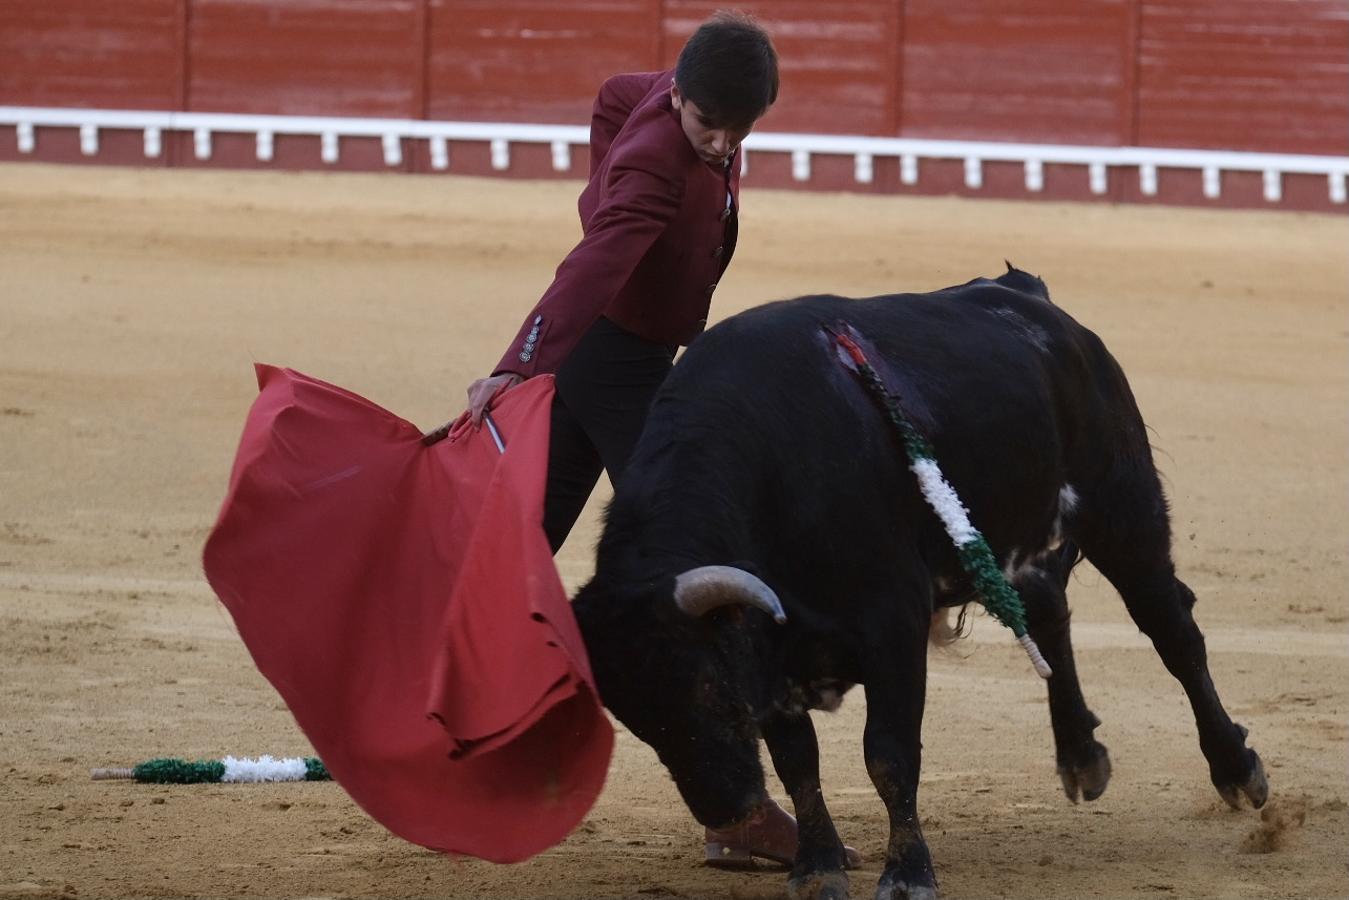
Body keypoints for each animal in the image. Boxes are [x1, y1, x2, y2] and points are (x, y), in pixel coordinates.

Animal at [569, 269, 1262, 900]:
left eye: (706, 685)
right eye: (630, 715)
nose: (725, 808)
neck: (773, 472)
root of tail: (1030, 297)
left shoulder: (892, 624)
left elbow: (889, 754)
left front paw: (907, 874)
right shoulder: (773, 659)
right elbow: (798, 760)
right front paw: (816, 868)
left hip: (1124, 506)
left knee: (1173, 630)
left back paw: (1237, 769)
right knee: (1046, 608)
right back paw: (1080, 757)